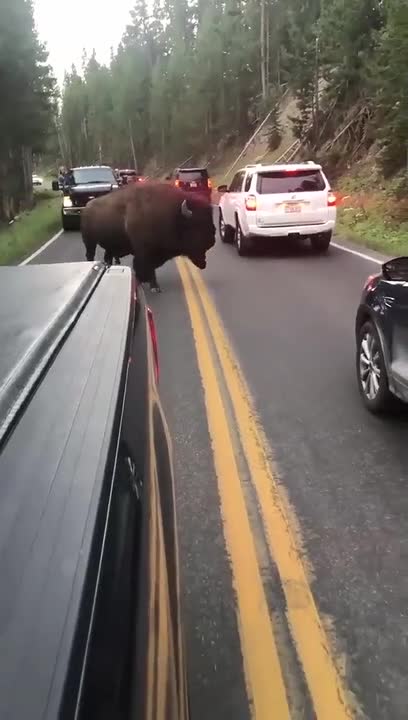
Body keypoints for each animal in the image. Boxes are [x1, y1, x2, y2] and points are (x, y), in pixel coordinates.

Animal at [79, 181, 217, 292]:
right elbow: (147, 267)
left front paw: (151, 284)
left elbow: (150, 269)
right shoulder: (145, 252)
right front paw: (152, 286)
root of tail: (87, 207)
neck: (173, 215)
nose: (212, 240)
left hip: (109, 246)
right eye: (197, 224)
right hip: (89, 242)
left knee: (107, 257)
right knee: (90, 254)